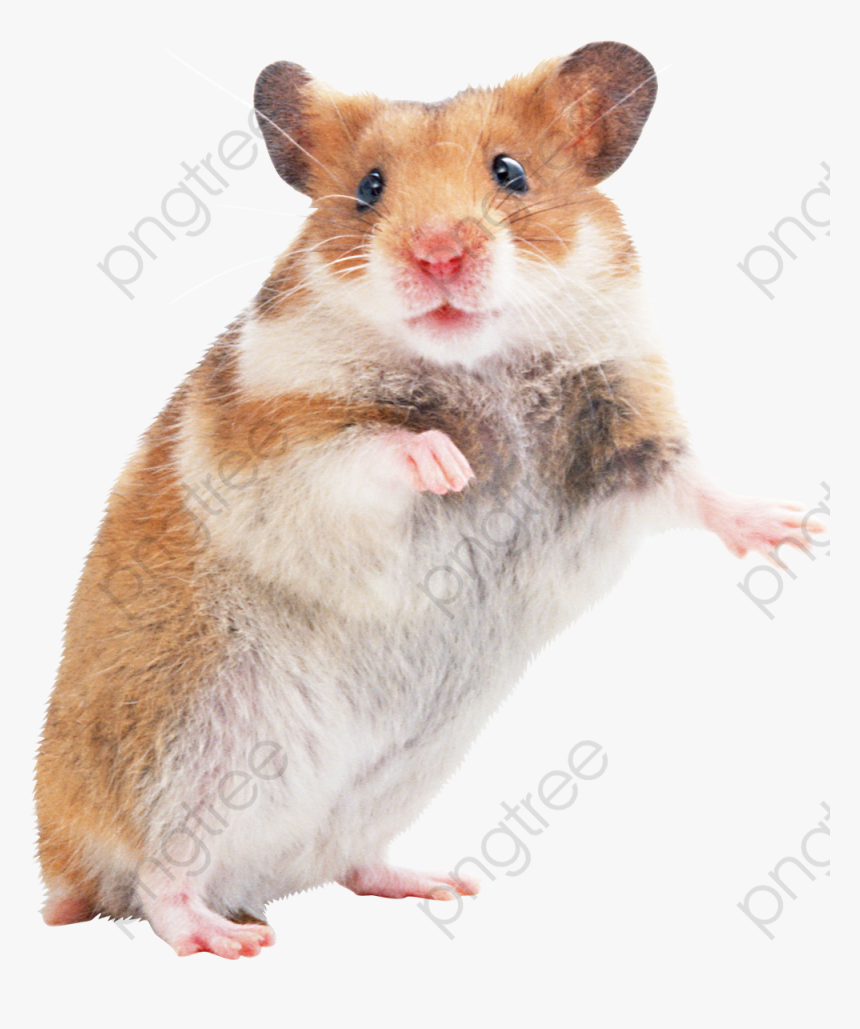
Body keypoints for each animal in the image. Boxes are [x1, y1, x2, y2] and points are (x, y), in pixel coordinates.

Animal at [35, 41, 824, 958]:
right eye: (370, 187)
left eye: (511, 172)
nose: (438, 254)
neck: (479, 362)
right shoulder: (277, 448)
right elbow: (372, 446)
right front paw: (450, 464)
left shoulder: (625, 437)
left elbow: (692, 485)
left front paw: (799, 533)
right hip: (184, 748)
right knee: (156, 878)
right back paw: (227, 939)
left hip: (393, 778)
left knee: (346, 861)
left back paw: (437, 885)